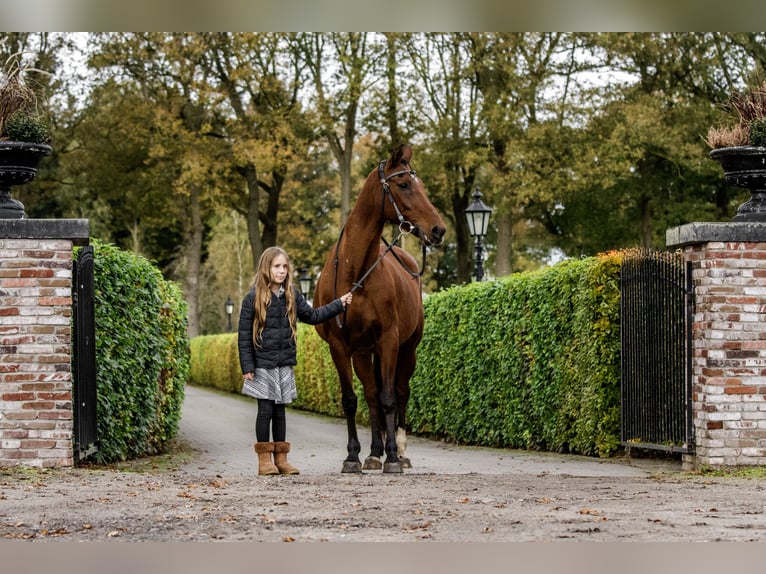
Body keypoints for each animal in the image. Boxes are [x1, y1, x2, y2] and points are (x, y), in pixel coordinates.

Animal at [314, 145, 448, 476]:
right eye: (404, 184)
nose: (438, 230)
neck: (356, 271)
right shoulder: (340, 346)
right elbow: (352, 400)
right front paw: (353, 457)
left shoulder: (389, 340)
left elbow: (390, 399)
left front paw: (393, 459)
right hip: (364, 353)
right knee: (372, 394)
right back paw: (374, 454)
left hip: (407, 350)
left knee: (399, 393)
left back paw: (399, 451)